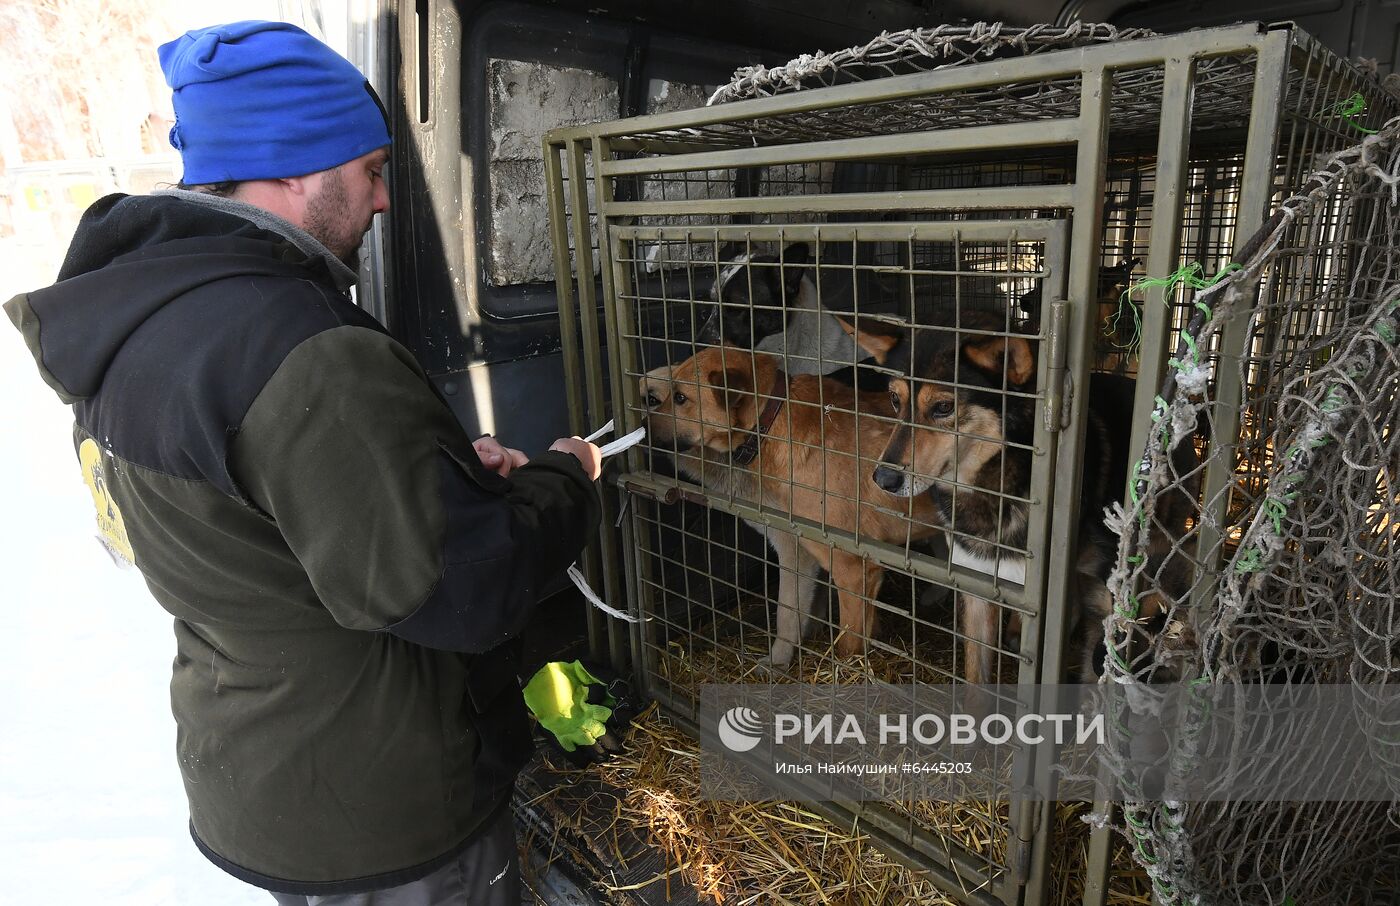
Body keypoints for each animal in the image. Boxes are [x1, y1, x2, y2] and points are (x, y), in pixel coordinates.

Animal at [641, 347, 940, 666]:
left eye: (680, 397)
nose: (642, 427)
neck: (770, 422)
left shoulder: (846, 567)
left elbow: (823, 631)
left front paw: (785, 663)